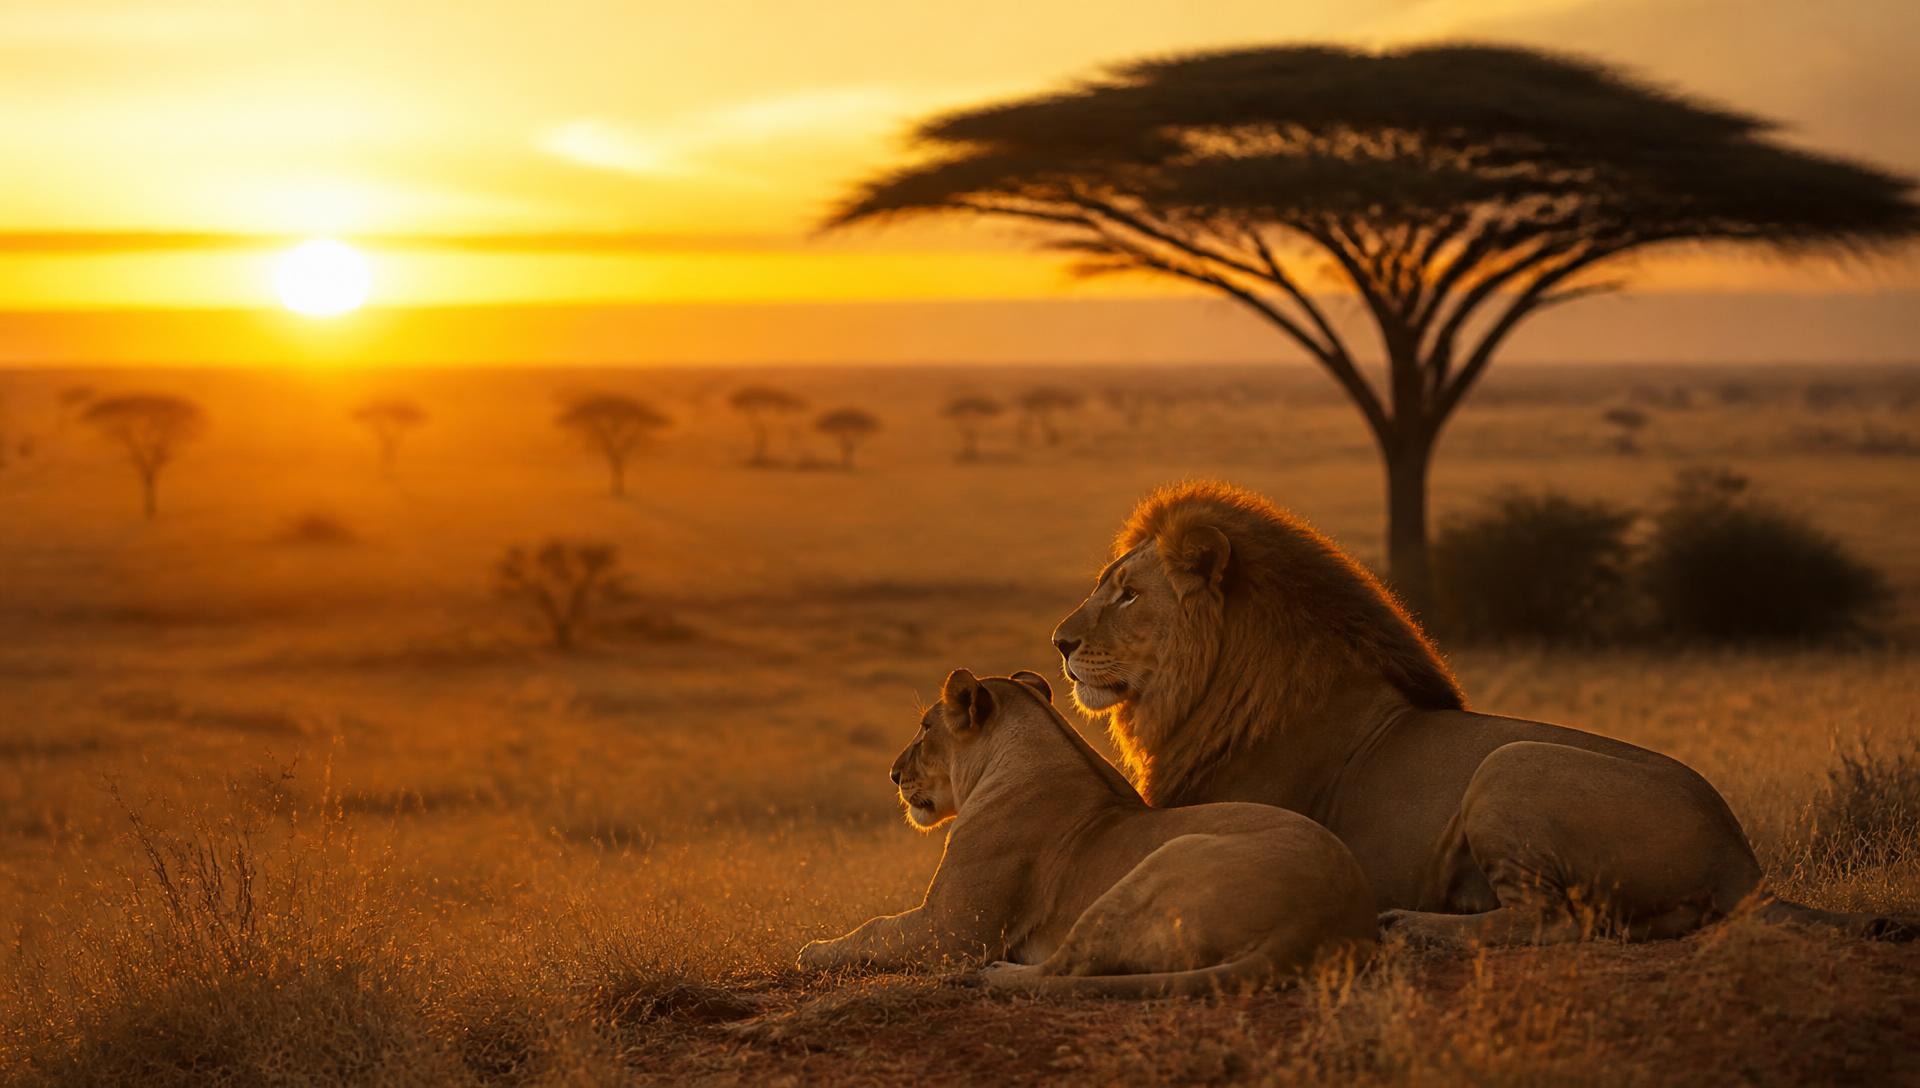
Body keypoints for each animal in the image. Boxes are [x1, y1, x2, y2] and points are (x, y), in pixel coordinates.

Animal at [796, 668, 1378, 994]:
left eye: (923, 728)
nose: (894, 773)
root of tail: (1320, 919)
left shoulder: (952, 931)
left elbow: (874, 929)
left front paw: (813, 950)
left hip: (1157, 866)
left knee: (1065, 968)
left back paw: (991, 977)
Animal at [1051, 480, 1915, 947]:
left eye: (1127, 594)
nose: (1059, 643)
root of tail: (1743, 861)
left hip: (1512, 765)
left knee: (1554, 920)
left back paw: (1413, 924)